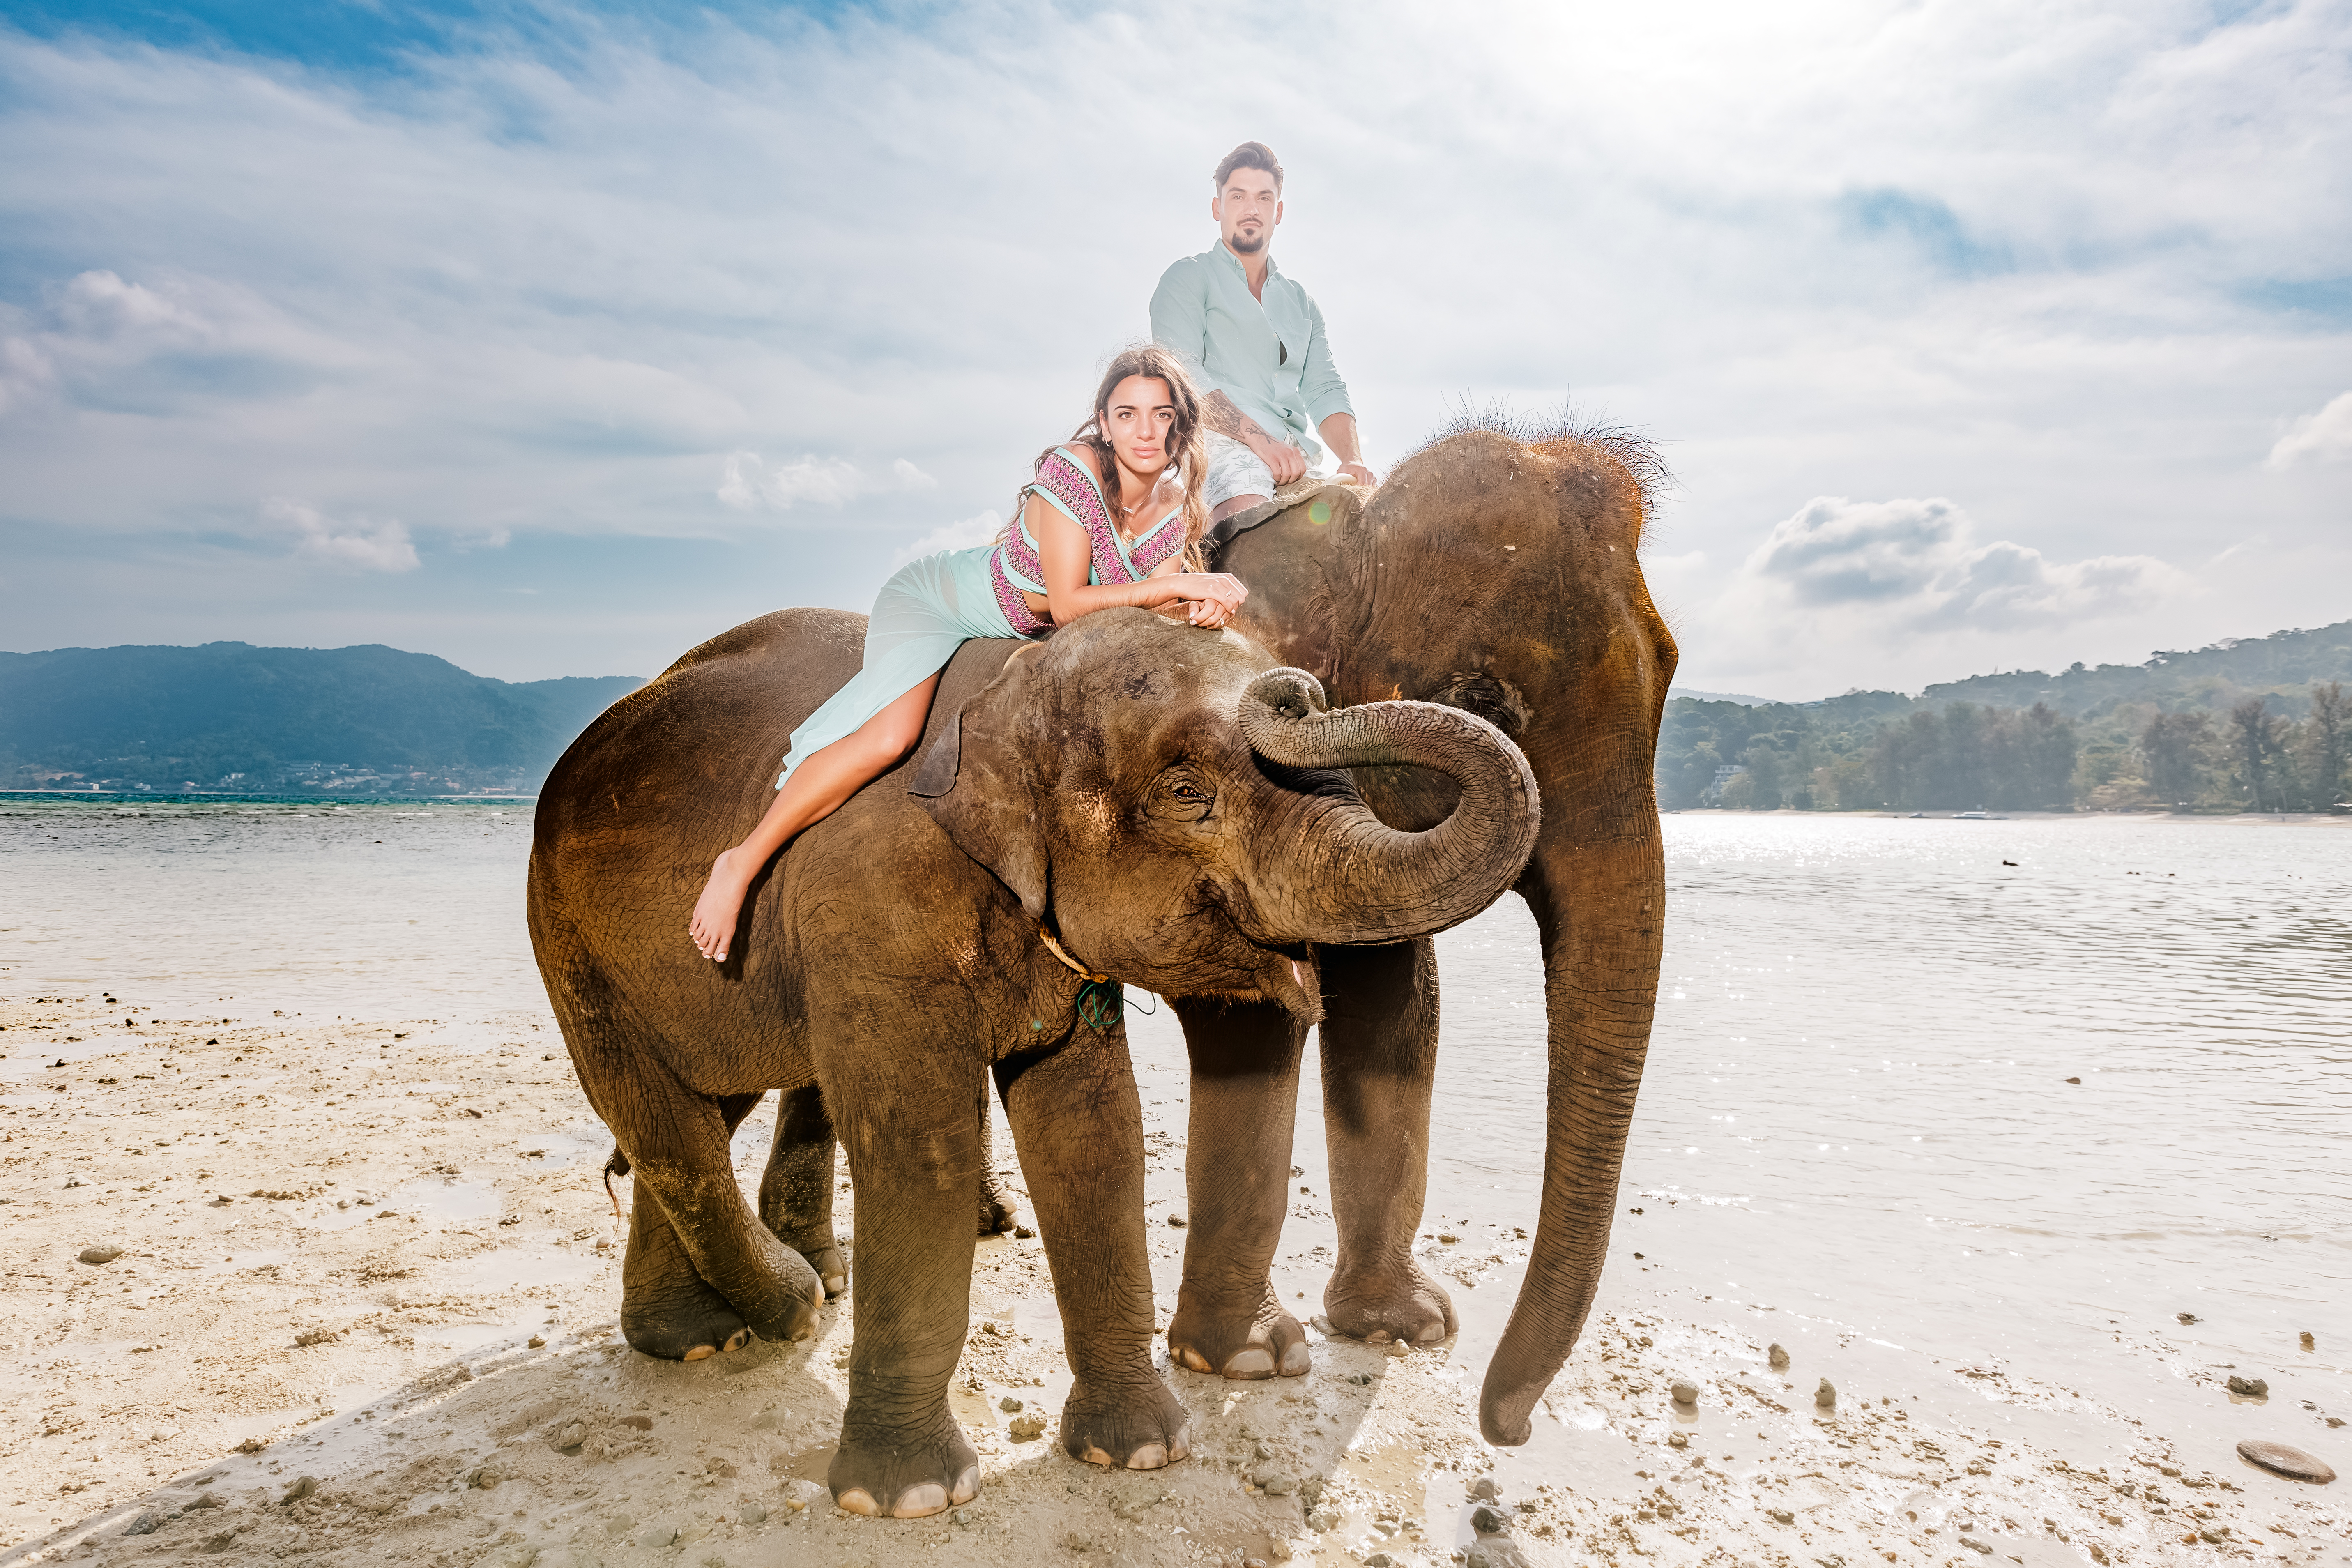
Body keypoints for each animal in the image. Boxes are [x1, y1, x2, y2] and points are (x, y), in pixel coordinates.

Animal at [525, 605, 1541, 1516]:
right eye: (1186, 791)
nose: (1295, 688)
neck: (1009, 685)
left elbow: (1091, 1128)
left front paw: (1139, 1452)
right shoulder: (869, 912)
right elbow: (921, 1149)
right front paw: (908, 1497)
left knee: (702, 1103)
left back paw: (694, 1339)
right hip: (569, 941)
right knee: (667, 1123)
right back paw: (791, 1307)